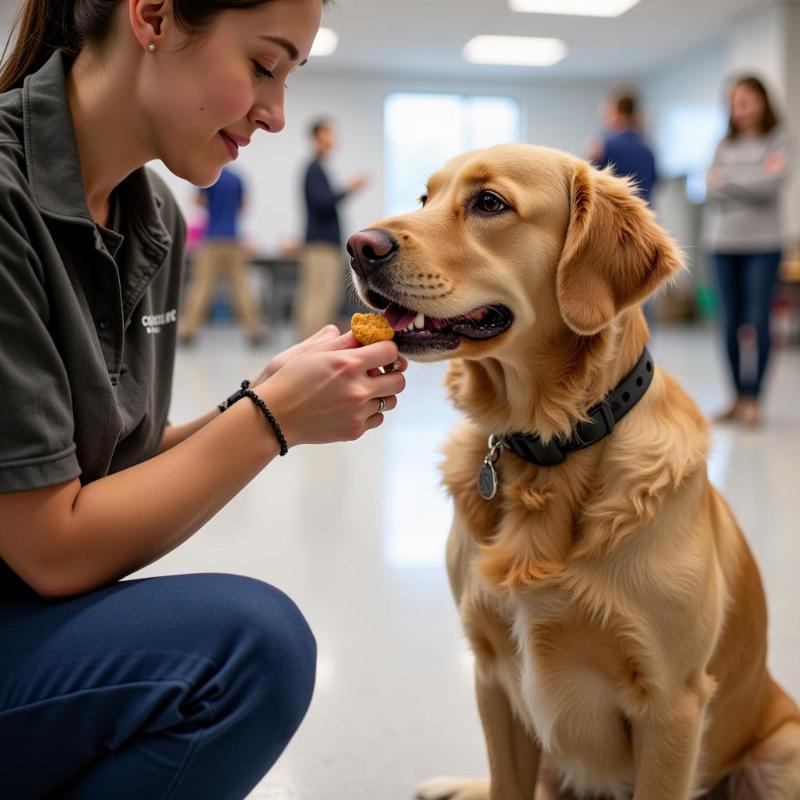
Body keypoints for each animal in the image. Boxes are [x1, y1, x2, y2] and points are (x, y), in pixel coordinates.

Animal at [346, 145, 800, 800]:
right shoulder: (491, 675)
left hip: (781, 751)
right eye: (425, 198)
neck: (549, 447)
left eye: (489, 203)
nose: (358, 246)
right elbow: (505, 784)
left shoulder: (674, 705)